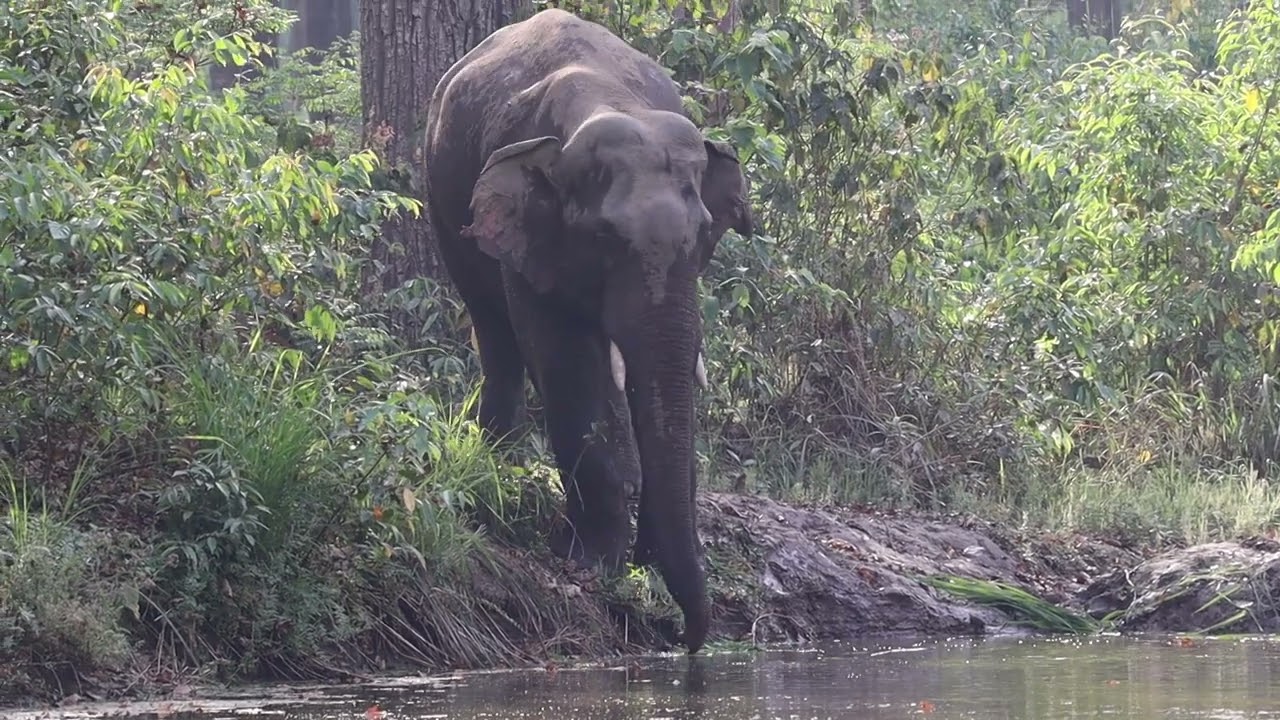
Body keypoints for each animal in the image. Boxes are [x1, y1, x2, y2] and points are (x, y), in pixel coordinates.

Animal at [422, 8, 755, 654]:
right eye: (604, 239)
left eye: (704, 234)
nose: (686, 640)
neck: (609, 101)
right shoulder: (531, 232)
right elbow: (565, 357)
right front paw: (591, 563)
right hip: (444, 197)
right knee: (494, 330)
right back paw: (500, 460)